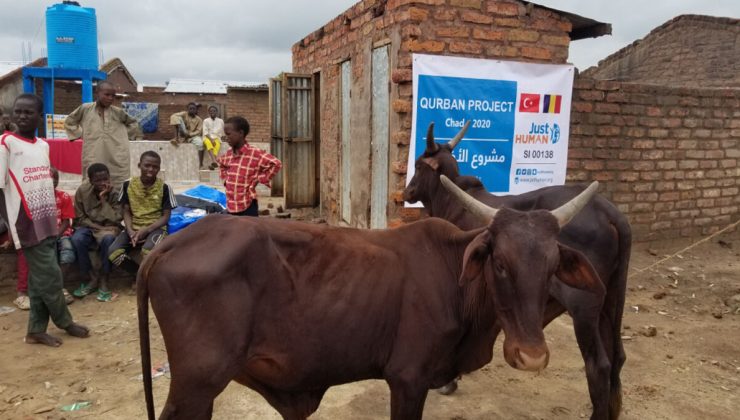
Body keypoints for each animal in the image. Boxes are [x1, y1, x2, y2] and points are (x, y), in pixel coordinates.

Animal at [137, 184, 600, 420]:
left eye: (553, 265)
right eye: (500, 262)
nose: (531, 356)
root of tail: (174, 242)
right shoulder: (408, 378)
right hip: (197, 383)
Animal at [404, 120, 632, 418]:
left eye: (419, 165)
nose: (407, 193)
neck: (452, 200)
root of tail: (611, 213)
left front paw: (449, 382)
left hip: (584, 304)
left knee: (599, 366)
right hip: (611, 299)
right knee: (618, 357)